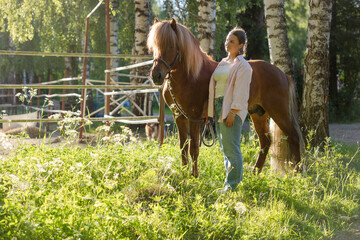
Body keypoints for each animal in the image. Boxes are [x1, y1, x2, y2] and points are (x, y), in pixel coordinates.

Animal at [147, 17, 304, 177]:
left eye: (171, 46)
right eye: (153, 46)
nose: (156, 75)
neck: (190, 75)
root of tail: (283, 75)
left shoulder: (194, 117)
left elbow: (193, 148)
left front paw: (194, 176)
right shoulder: (179, 116)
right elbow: (183, 147)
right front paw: (184, 173)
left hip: (279, 112)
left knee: (294, 137)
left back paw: (297, 174)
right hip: (258, 113)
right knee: (265, 141)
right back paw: (255, 173)